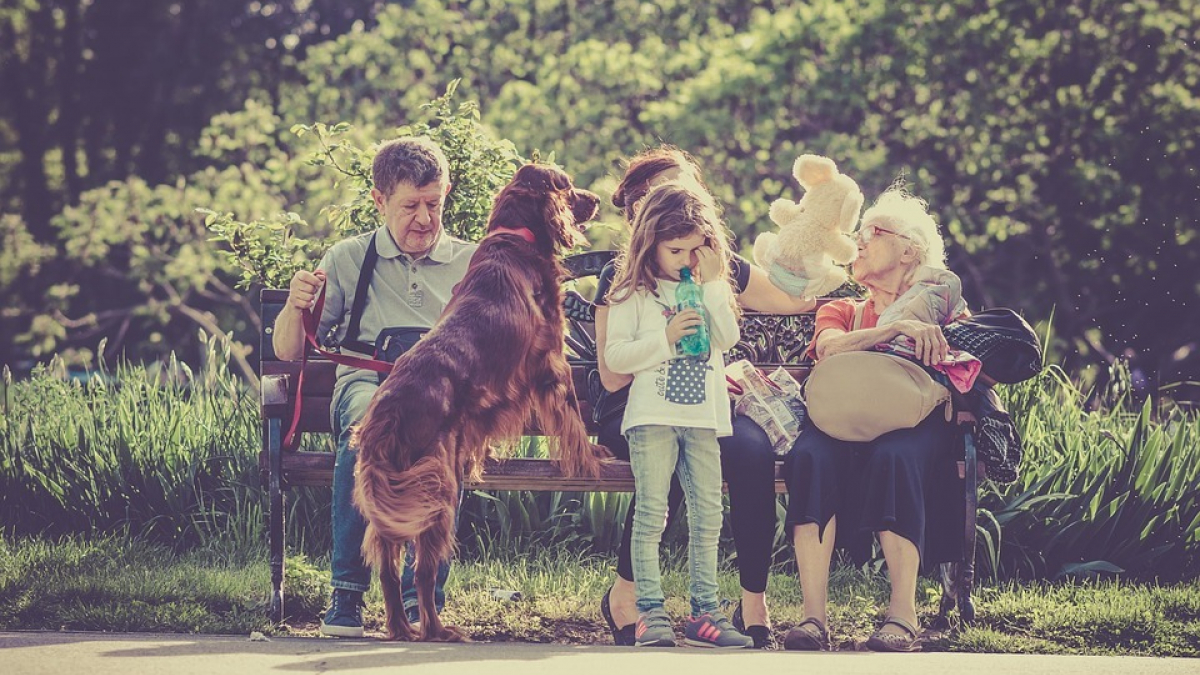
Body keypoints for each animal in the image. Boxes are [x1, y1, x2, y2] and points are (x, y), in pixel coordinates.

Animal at [348, 164, 609, 638]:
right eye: (565, 184)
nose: (597, 199)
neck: (516, 237)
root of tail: (386, 414)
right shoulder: (550, 360)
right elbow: (572, 416)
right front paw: (591, 457)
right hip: (436, 489)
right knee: (423, 571)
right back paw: (436, 630)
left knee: (389, 568)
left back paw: (400, 627)